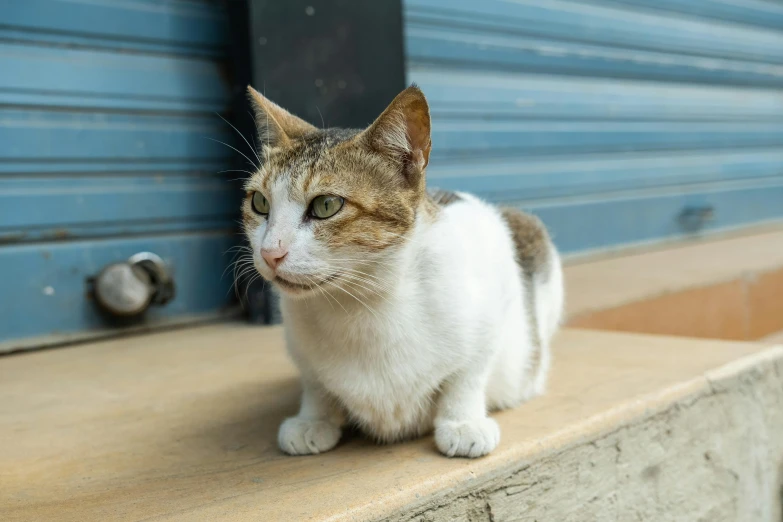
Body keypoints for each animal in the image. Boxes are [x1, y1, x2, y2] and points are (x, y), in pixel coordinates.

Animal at [242, 84, 568, 456]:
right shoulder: (300, 351)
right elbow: (316, 384)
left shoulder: (490, 309)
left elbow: (467, 375)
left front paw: (462, 422)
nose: (270, 253)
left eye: (326, 205)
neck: (361, 304)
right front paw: (314, 418)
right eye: (260, 202)